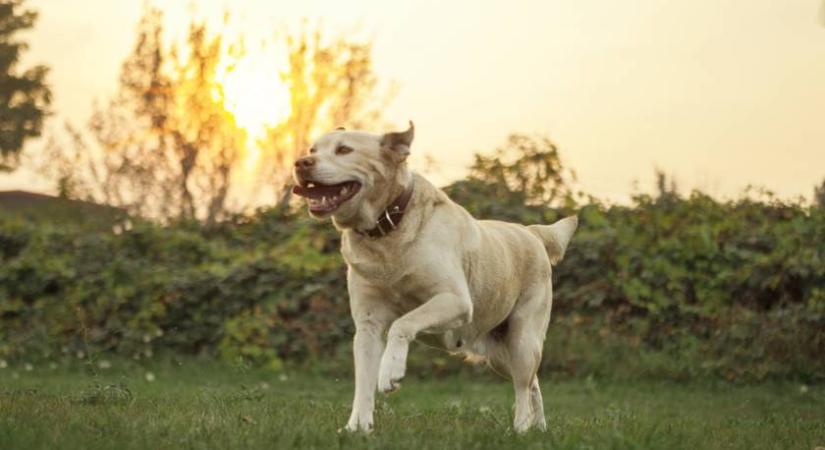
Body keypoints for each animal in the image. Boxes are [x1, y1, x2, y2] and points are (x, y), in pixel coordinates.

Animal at [292, 121, 576, 430]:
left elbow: (403, 323)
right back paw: (539, 428)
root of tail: (532, 232)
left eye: (344, 150)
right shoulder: (368, 325)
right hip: (501, 356)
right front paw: (357, 428)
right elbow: (363, 384)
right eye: (312, 150)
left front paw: (391, 371)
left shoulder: (455, 300)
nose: (301, 163)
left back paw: (521, 428)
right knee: (533, 383)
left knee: (523, 387)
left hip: (523, 340)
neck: (388, 230)